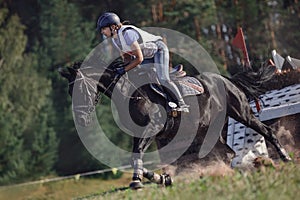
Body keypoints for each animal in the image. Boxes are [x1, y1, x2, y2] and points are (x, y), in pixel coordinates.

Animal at [58, 59, 290, 189]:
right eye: (69, 91)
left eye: (80, 89)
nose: (81, 119)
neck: (130, 93)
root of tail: (226, 80)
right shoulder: (141, 134)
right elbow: (136, 157)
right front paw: (161, 178)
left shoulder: (151, 130)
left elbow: (137, 155)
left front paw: (139, 181)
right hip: (210, 129)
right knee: (226, 152)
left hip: (242, 113)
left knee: (267, 131)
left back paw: (285, 158)